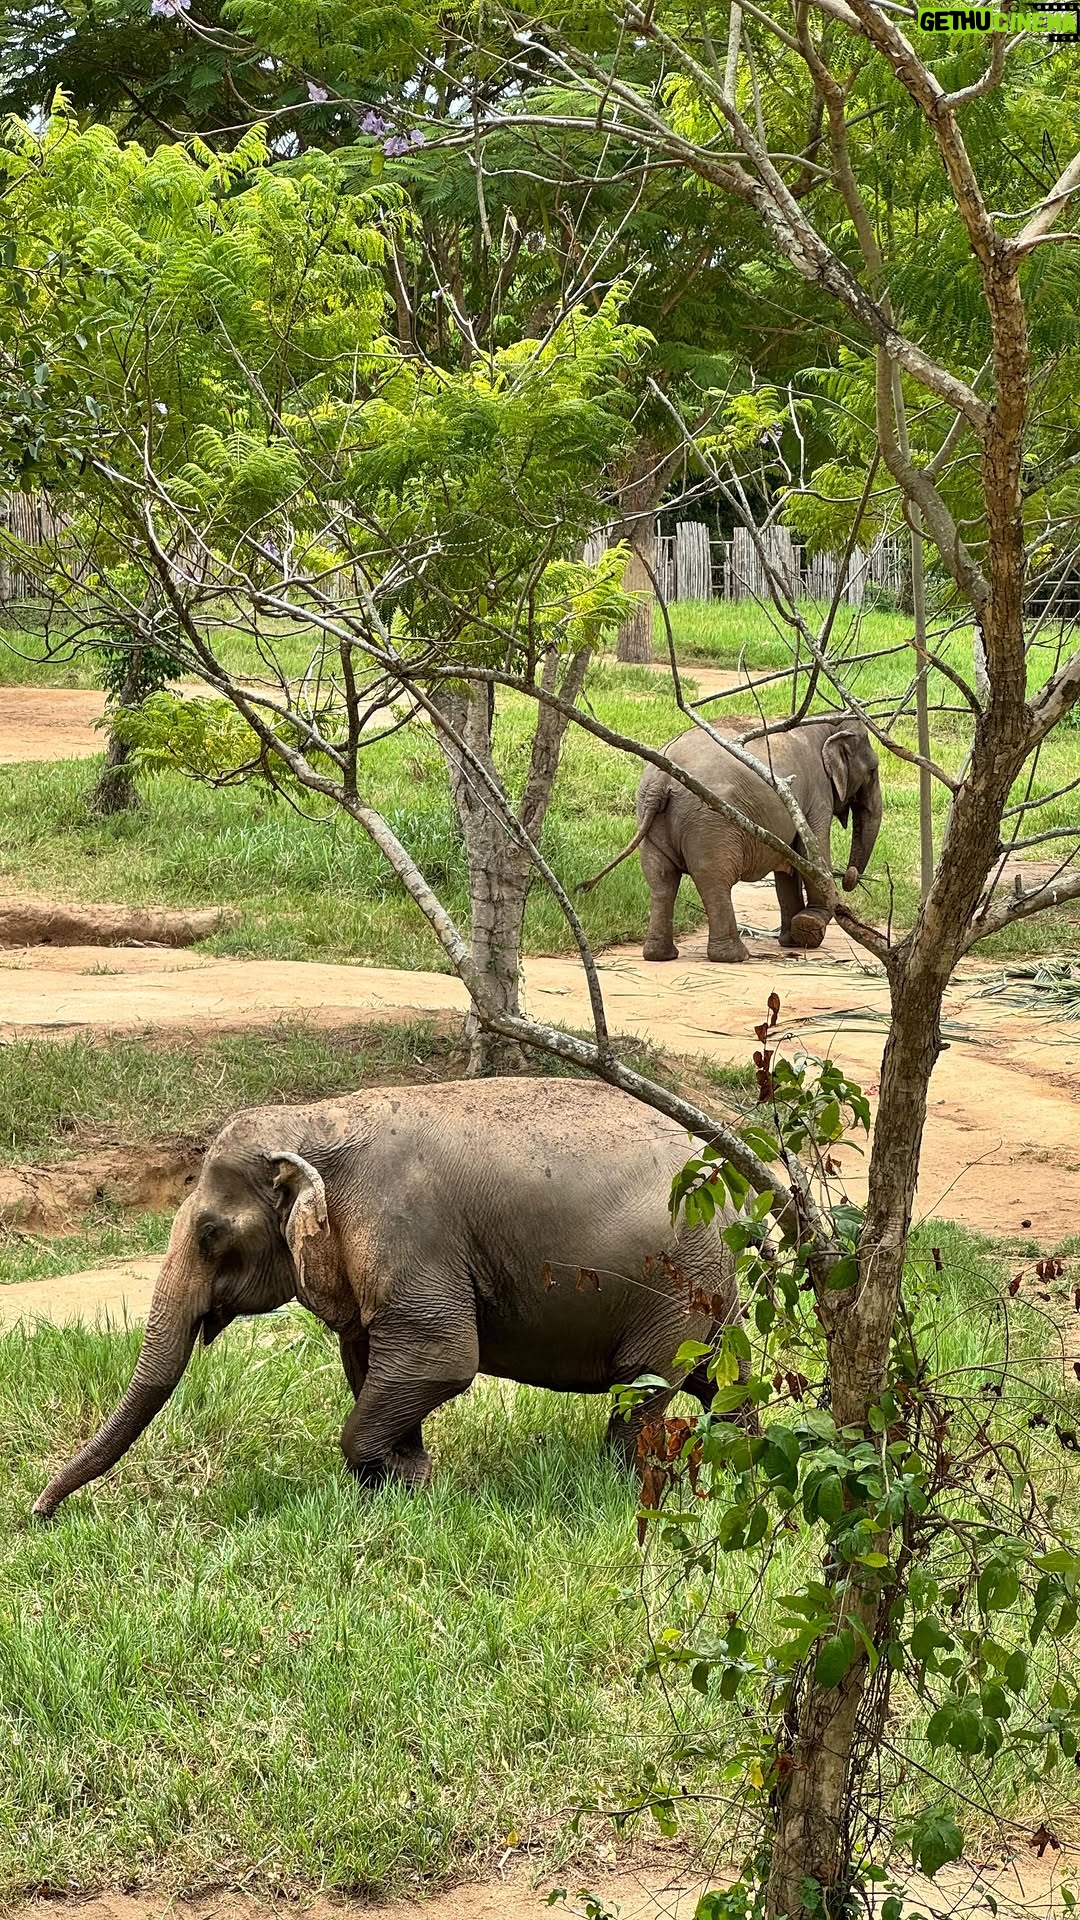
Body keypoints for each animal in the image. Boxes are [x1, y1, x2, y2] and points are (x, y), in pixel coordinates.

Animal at [32, 1077, 744, 1519]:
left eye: (210, 1233)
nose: (40, 1513)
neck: (317, 1117)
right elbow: (372, 1361)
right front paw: (410, 1486)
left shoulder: (407, 1231)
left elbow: (441, 1358)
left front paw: (407, 1486)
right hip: (706, 1300)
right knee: (718, 1383)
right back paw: (743, 1460)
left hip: (675, 1291)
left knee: (640, 1390)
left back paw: (621, 1485)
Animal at [581, 713, 881, 963]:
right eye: (873, 770)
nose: (850, 876)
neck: (825, 721)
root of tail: (660, 782)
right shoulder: (817, 793)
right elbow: (811, 852)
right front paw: (809, 928)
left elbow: (789, 865)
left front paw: (792, 940)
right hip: (712, 822)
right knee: (714, 879)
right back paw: (735, 956)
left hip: (651, 816)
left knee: (661, 879)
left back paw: (661, 956)